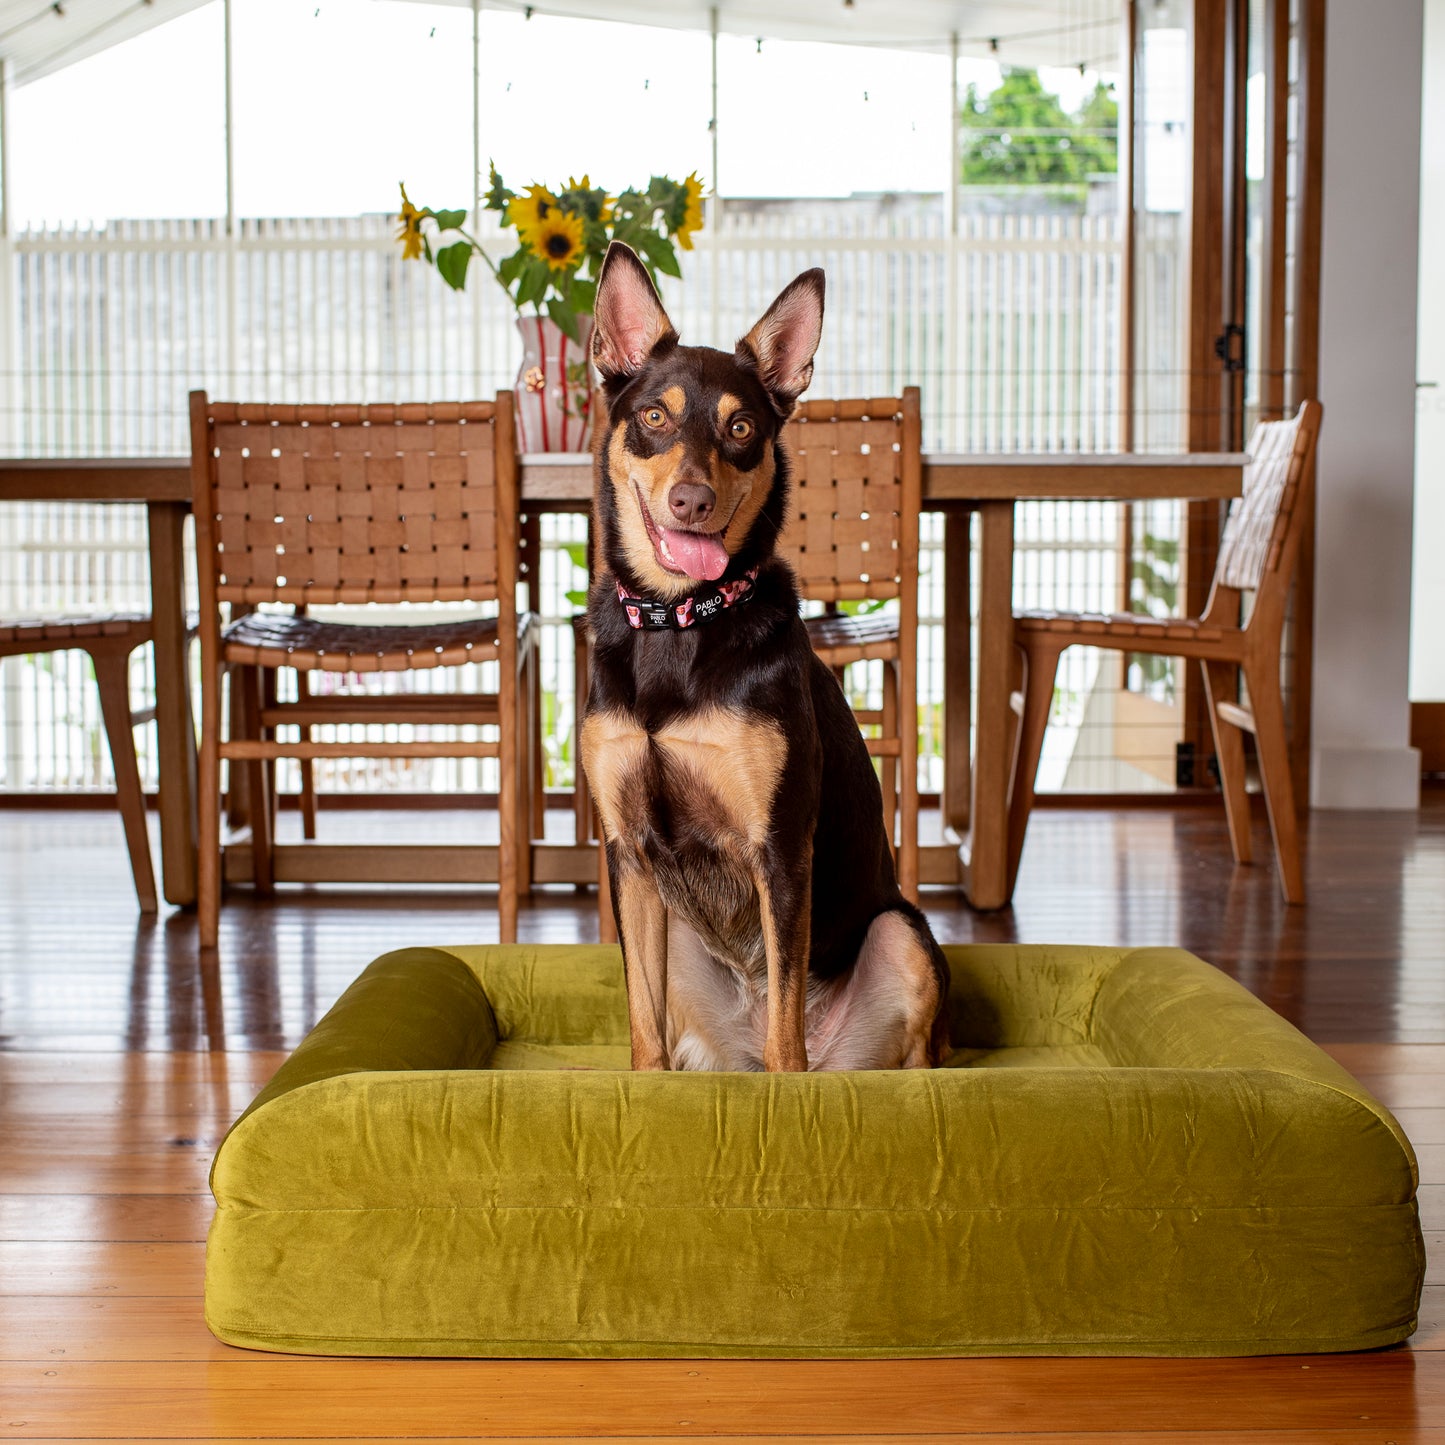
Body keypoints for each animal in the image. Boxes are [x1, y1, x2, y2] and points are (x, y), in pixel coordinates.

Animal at [575, 239, 947, 1075]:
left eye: (741, 426)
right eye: (653, 417)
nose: (692, 501)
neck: (679, 619)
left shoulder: (778, 850)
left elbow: (786, 1040)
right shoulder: (628, 860)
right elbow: (642, 1030)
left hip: (900, 934)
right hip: (682, 942)